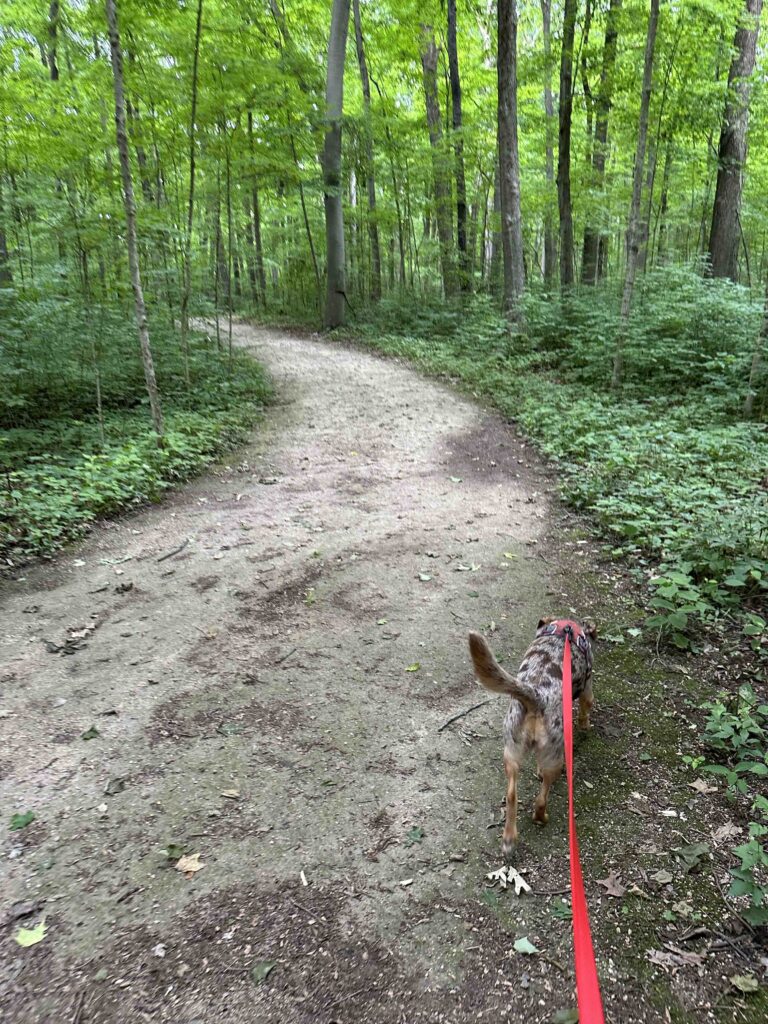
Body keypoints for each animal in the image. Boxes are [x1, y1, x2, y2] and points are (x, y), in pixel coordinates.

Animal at [466, 614, 598, 864]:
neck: (563, 632)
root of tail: (536, 695)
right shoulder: (587, 688)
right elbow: (586, 709)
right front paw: (586, 726)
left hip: (511, 752)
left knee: (511, 796)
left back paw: (509, 840)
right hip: (554, 757)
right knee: (541, 799)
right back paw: (540, 817)